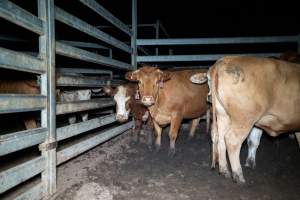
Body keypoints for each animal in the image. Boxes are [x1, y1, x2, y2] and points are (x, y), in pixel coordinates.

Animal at [190, 55, 300, 183]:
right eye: (206, 80)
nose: (209, 96)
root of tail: (224, 61)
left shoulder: (258, 122)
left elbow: (253, 141)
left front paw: (250, 162)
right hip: (245, 118)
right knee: (232, 140)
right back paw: (238, 175)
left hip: (223, 115)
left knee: (220, 139)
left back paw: (224, 170)